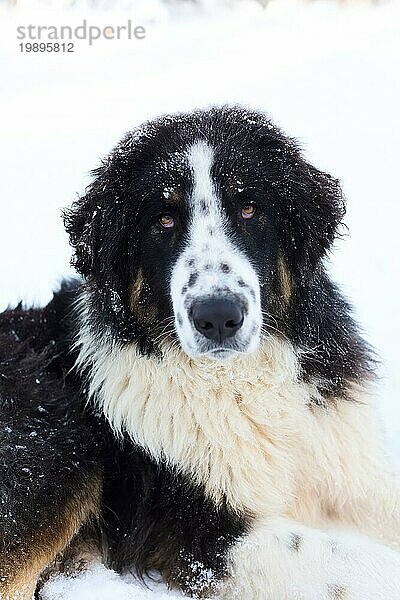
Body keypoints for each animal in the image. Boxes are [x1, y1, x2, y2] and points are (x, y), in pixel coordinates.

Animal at [0, 105, 400, 596]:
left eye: (249, 208)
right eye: (163, 221)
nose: (218, 316)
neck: (242, 383)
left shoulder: (348, 468)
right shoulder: (203, 535)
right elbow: (359, 563)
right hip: (59, 440)